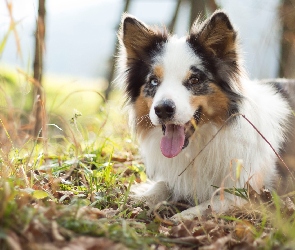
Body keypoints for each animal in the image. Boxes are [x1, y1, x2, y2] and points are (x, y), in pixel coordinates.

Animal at [116, 10, 294, 221]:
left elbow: (209, 204)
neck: (203, 141)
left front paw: (178, 219)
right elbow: (162, 185)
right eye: (153, 81)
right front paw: (139, 200)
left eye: (194, 79)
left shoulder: (248, 192)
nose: (163, 109)